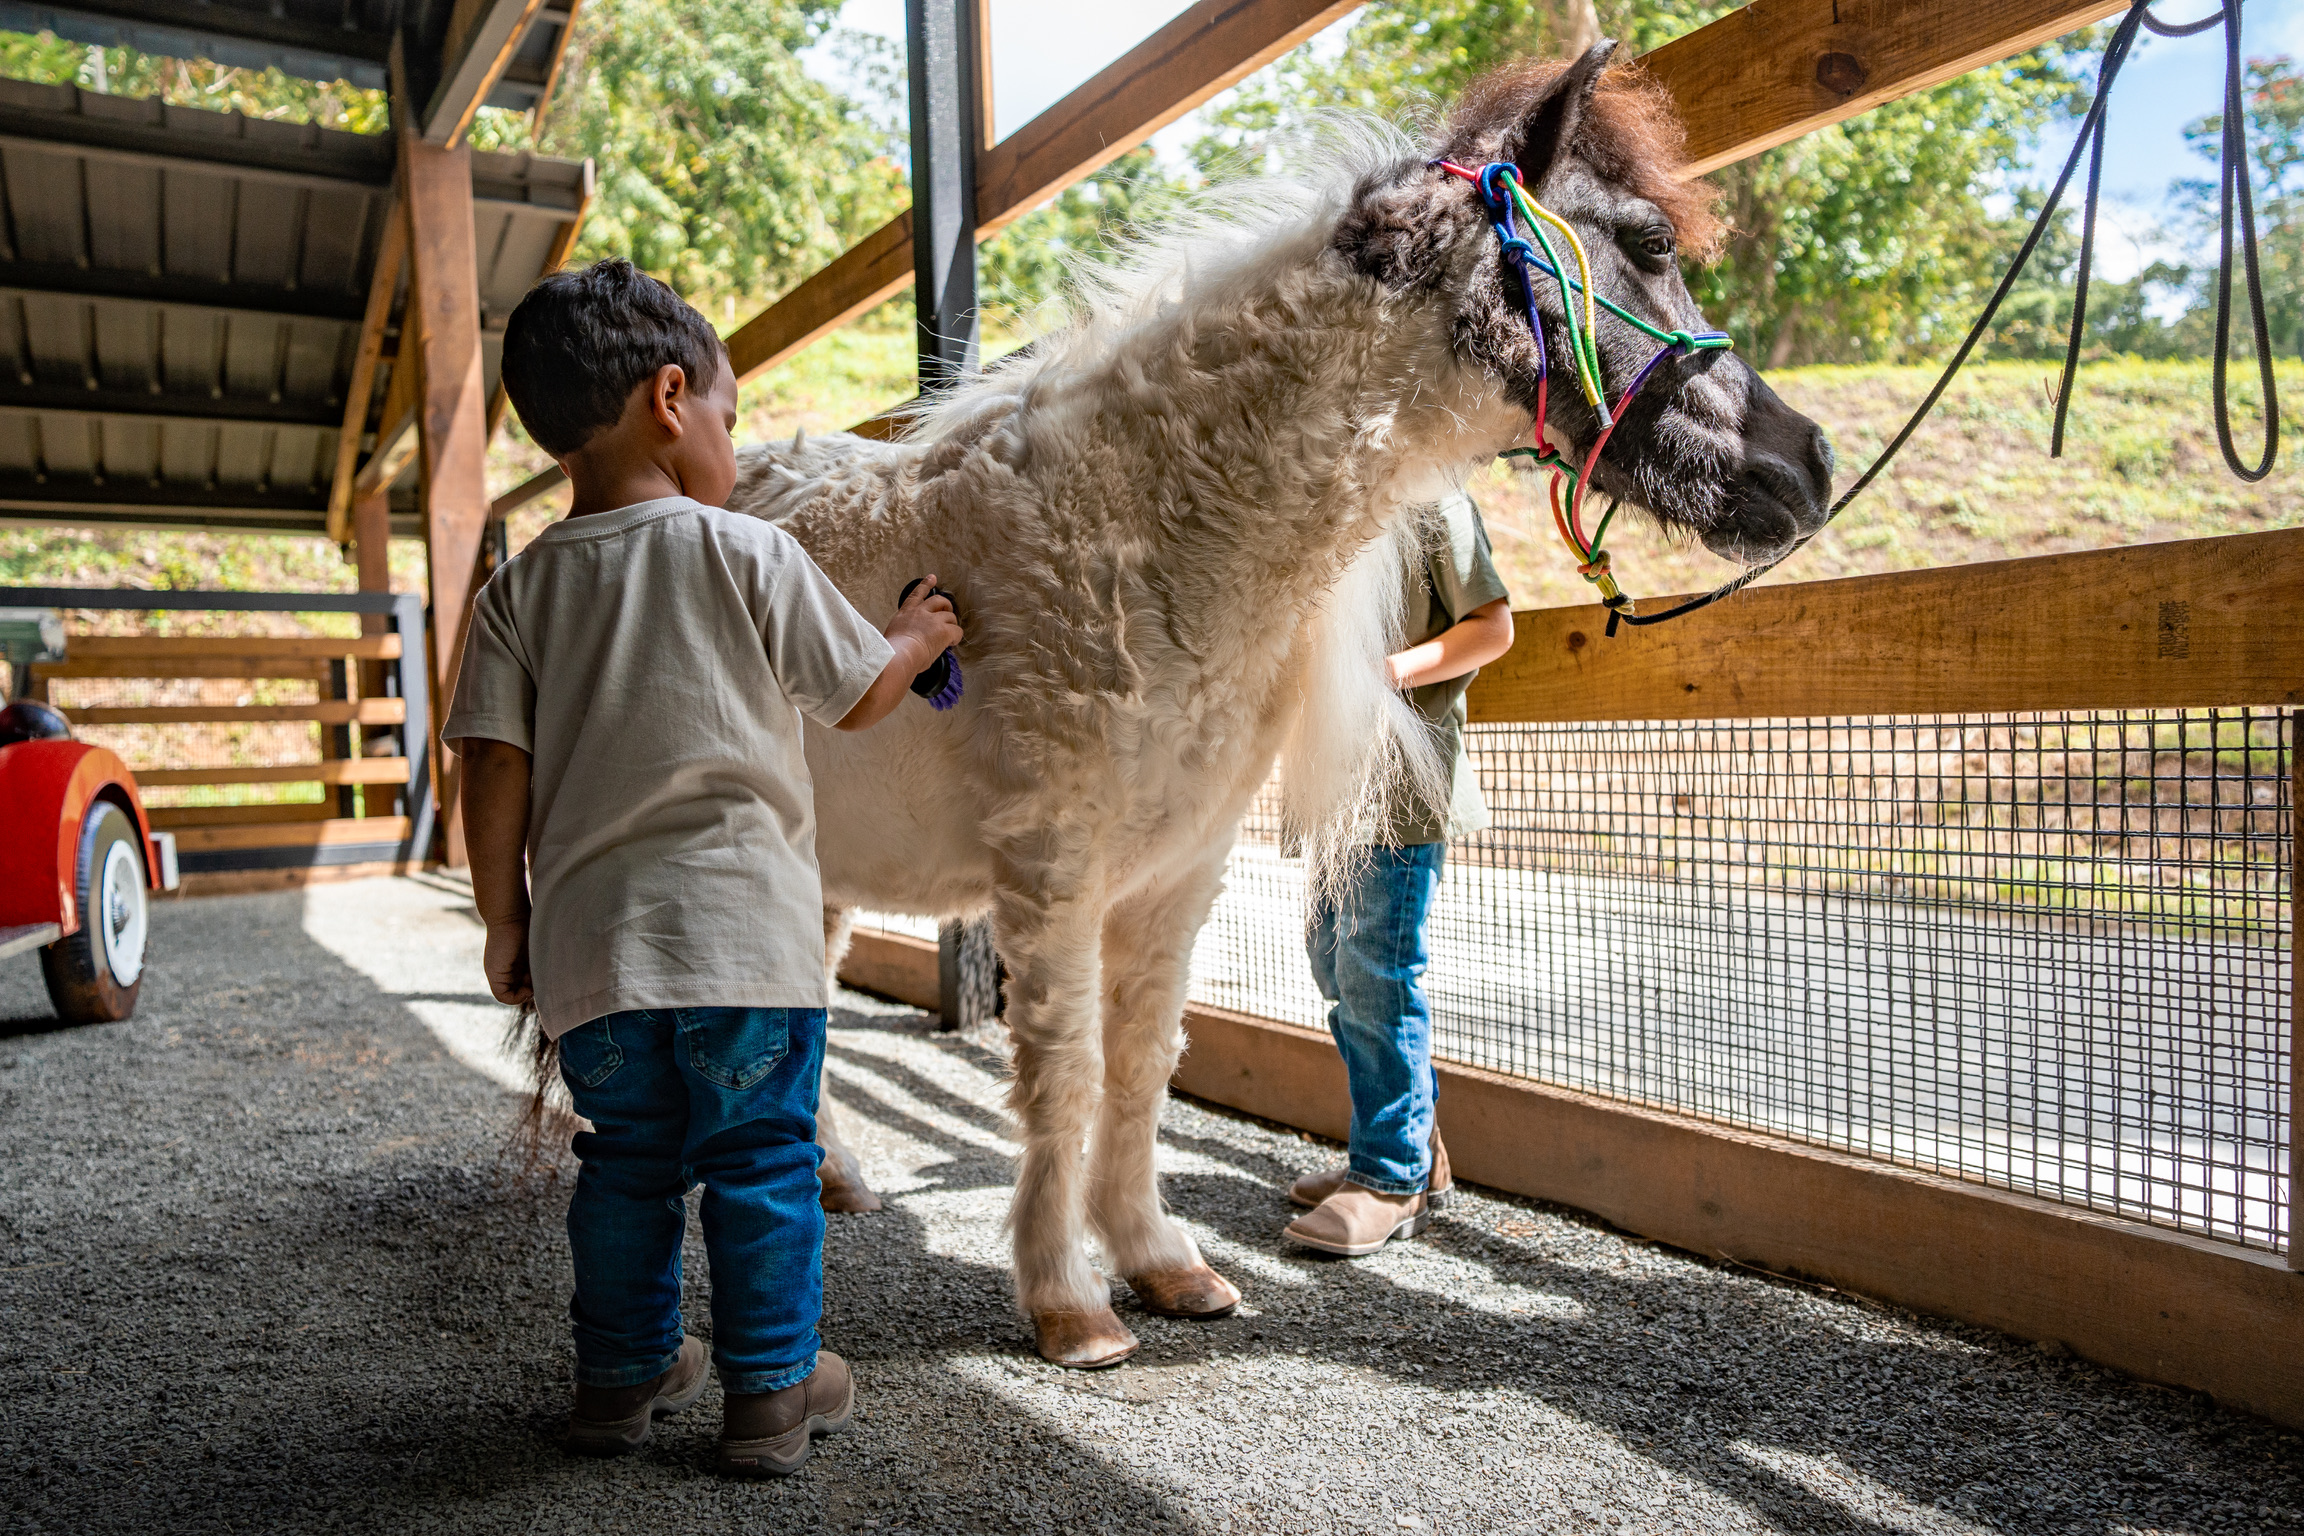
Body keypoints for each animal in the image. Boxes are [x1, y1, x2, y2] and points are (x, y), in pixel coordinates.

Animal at [729, 41, 1834, 1368]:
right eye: (1652, 241)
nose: (1809, 463)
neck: (1138, 526)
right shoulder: (1052, 869)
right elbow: (1065, 1071)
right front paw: (1068, 1302)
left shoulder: (1178, 870)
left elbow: (1141, 1067)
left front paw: (1160, 1262)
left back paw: (833, 1175)